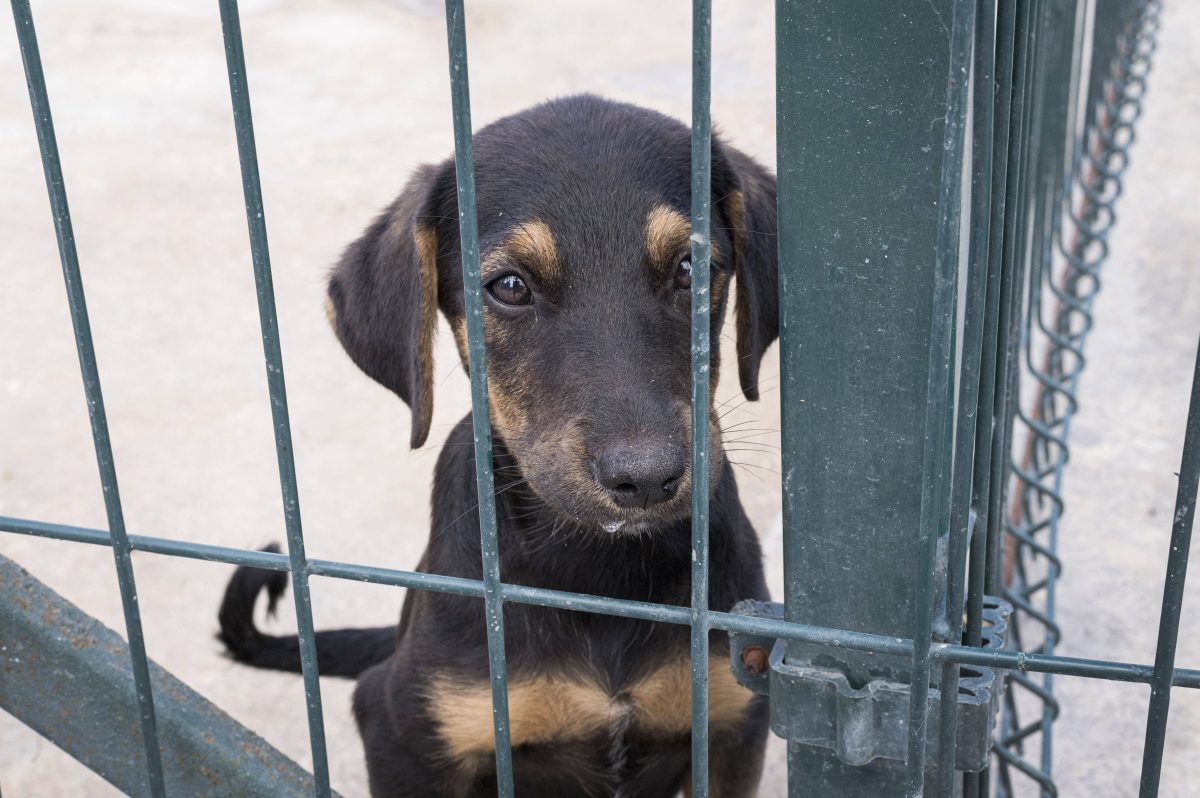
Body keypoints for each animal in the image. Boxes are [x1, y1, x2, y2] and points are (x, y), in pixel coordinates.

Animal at [218, 94, 777, 796]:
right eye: (509, 287)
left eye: (691, 267)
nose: (647, 477)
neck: (596, 571)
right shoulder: (405, 726)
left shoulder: (733, 721)